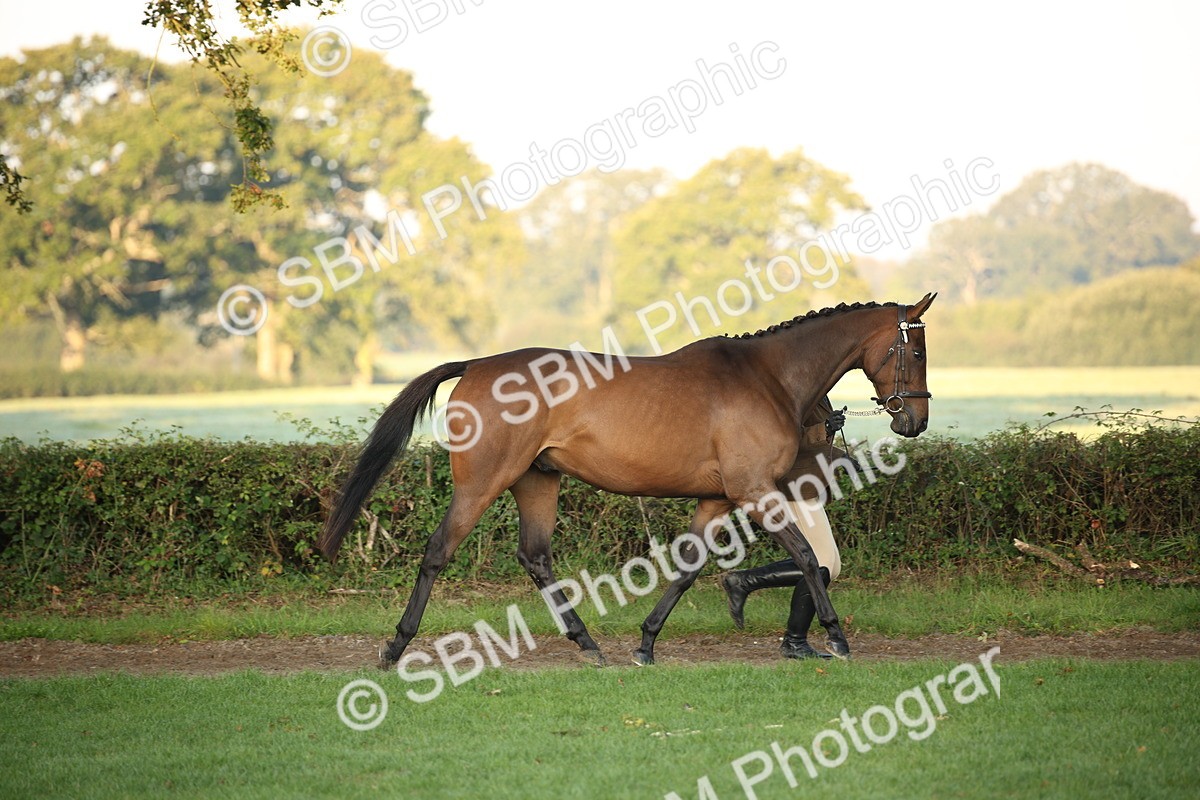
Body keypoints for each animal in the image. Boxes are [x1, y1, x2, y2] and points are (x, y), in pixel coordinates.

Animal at [319, 293, 936, 666]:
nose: (915, 419)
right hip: (482, 484)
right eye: (915, 351)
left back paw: (588, 643)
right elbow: (808, 557)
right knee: (437, 552)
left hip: (537, 482)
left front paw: (646, 642)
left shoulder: (716, 499)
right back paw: (396, 647)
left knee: (535, 557)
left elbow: (687, 569)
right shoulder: (755, 492)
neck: (768, 377)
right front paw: (836, 637)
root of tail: (475, 364)